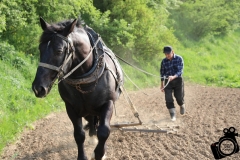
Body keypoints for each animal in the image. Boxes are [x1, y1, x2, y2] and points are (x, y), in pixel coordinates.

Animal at [31, 17, 124, 160]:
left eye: (59, 50)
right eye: (40, 49)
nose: (38, 88)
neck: (84, 79)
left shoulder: (108, 103)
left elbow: (104, 131)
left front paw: (99, 154)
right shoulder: (71, 108)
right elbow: (79, 135)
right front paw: (83, 155)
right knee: (91, 121)